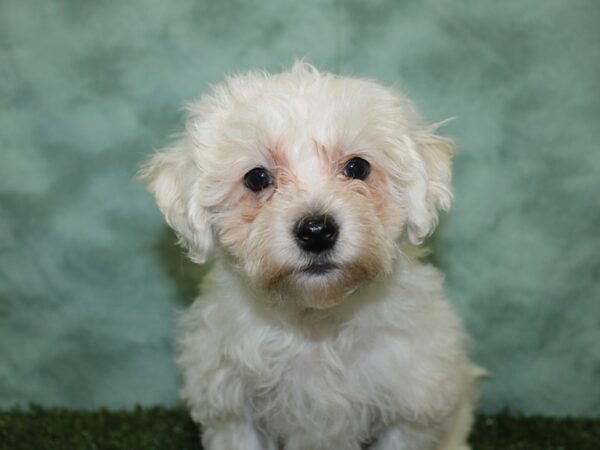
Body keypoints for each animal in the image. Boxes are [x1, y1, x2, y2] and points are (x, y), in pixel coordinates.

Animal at [143, 60, 480, 450]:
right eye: (257, 178)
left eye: (358, 167)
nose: (317, 231)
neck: (316, 321)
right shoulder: (233, 411)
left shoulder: (409, 410)